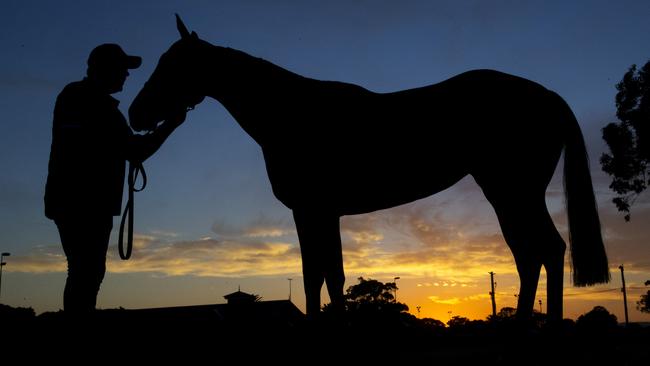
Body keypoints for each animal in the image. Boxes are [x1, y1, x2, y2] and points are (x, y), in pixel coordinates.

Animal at [128, 15, 608, 322]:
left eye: (173, 65)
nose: (135, 114)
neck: (291, 115)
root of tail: (548, 95)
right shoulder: (323, 214)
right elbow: (327, 277)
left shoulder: (311, 211)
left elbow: (317, 277)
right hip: (510, 195)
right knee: (531, 256)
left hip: (512, 192)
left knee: (545, 251)